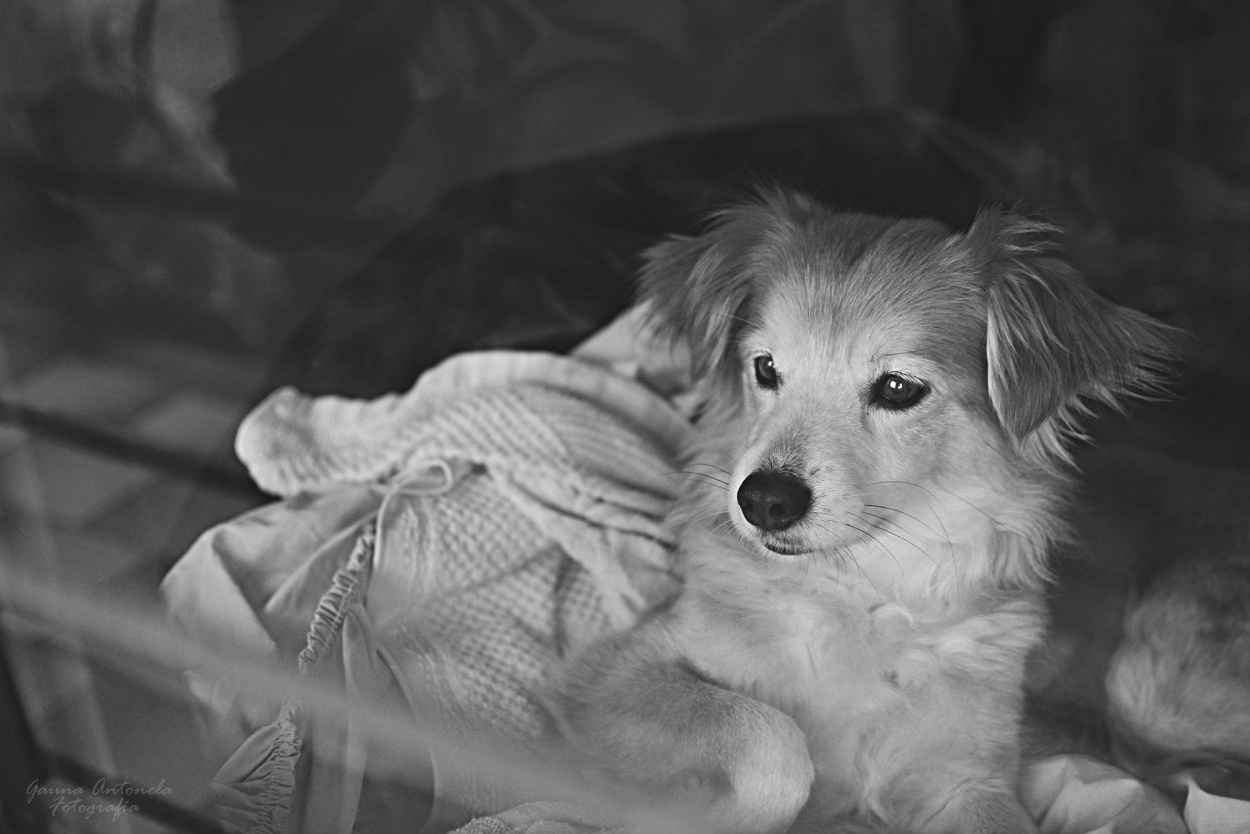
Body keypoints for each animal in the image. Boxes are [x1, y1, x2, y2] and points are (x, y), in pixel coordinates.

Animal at [542, 191, 1175, 834]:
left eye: (897, 388)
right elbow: (770, 737)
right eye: (765, 368)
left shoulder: (967, 778)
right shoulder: (610, 673)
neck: (861, 586)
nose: (763, 500)